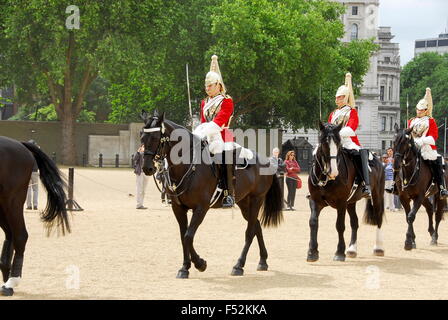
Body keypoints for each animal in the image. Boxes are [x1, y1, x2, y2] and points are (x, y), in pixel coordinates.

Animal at [140, 110, 282, 278]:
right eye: (142, 137)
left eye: (155, 138)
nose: (147, 168)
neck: (188, 165)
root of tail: (267, 160)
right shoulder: (178, 208)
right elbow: (183, 236)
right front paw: (185, 267)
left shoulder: (201, 208)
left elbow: (188, 236)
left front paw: (200, 264)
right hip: (243, 202)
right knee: (256, 226)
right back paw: (263, 261)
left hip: (256, 199)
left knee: (249, 231)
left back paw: (239, 265)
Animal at [308, 121, 384, 262]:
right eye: (324, 143)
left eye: (338, 144)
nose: (333, 172)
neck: (325, 178)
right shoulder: (315, 201)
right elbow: (313, 222)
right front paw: (312, 252)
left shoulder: (341, 203)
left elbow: (340, 225)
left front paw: (339, 252)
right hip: (351, 202)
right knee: (354, 222)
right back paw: (352, 249)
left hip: (376, 197)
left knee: (378, 218)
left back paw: (378, 248)